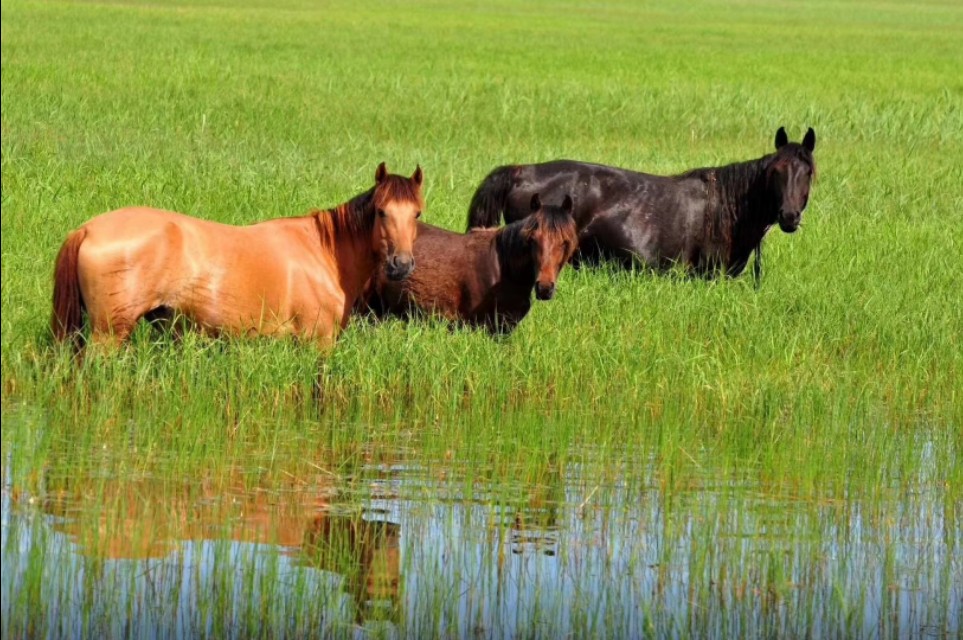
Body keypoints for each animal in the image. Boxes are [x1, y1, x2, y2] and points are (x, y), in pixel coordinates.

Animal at [51, 162, 422, 348]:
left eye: (416, 214)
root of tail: (88, 229)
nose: (401, 264)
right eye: (381, 212)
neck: (325, 253)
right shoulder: (318, 342)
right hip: (108, 334)